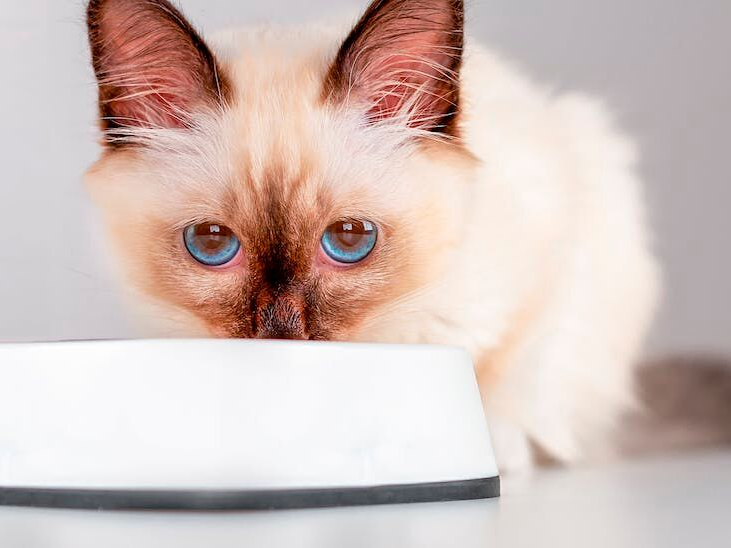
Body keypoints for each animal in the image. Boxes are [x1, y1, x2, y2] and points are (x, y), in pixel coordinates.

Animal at [83, 0, 660, 470]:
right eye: (211, 243)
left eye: (349, 238)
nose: (281, 332)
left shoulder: (555, 255)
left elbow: (512, 371)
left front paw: (493, 450)